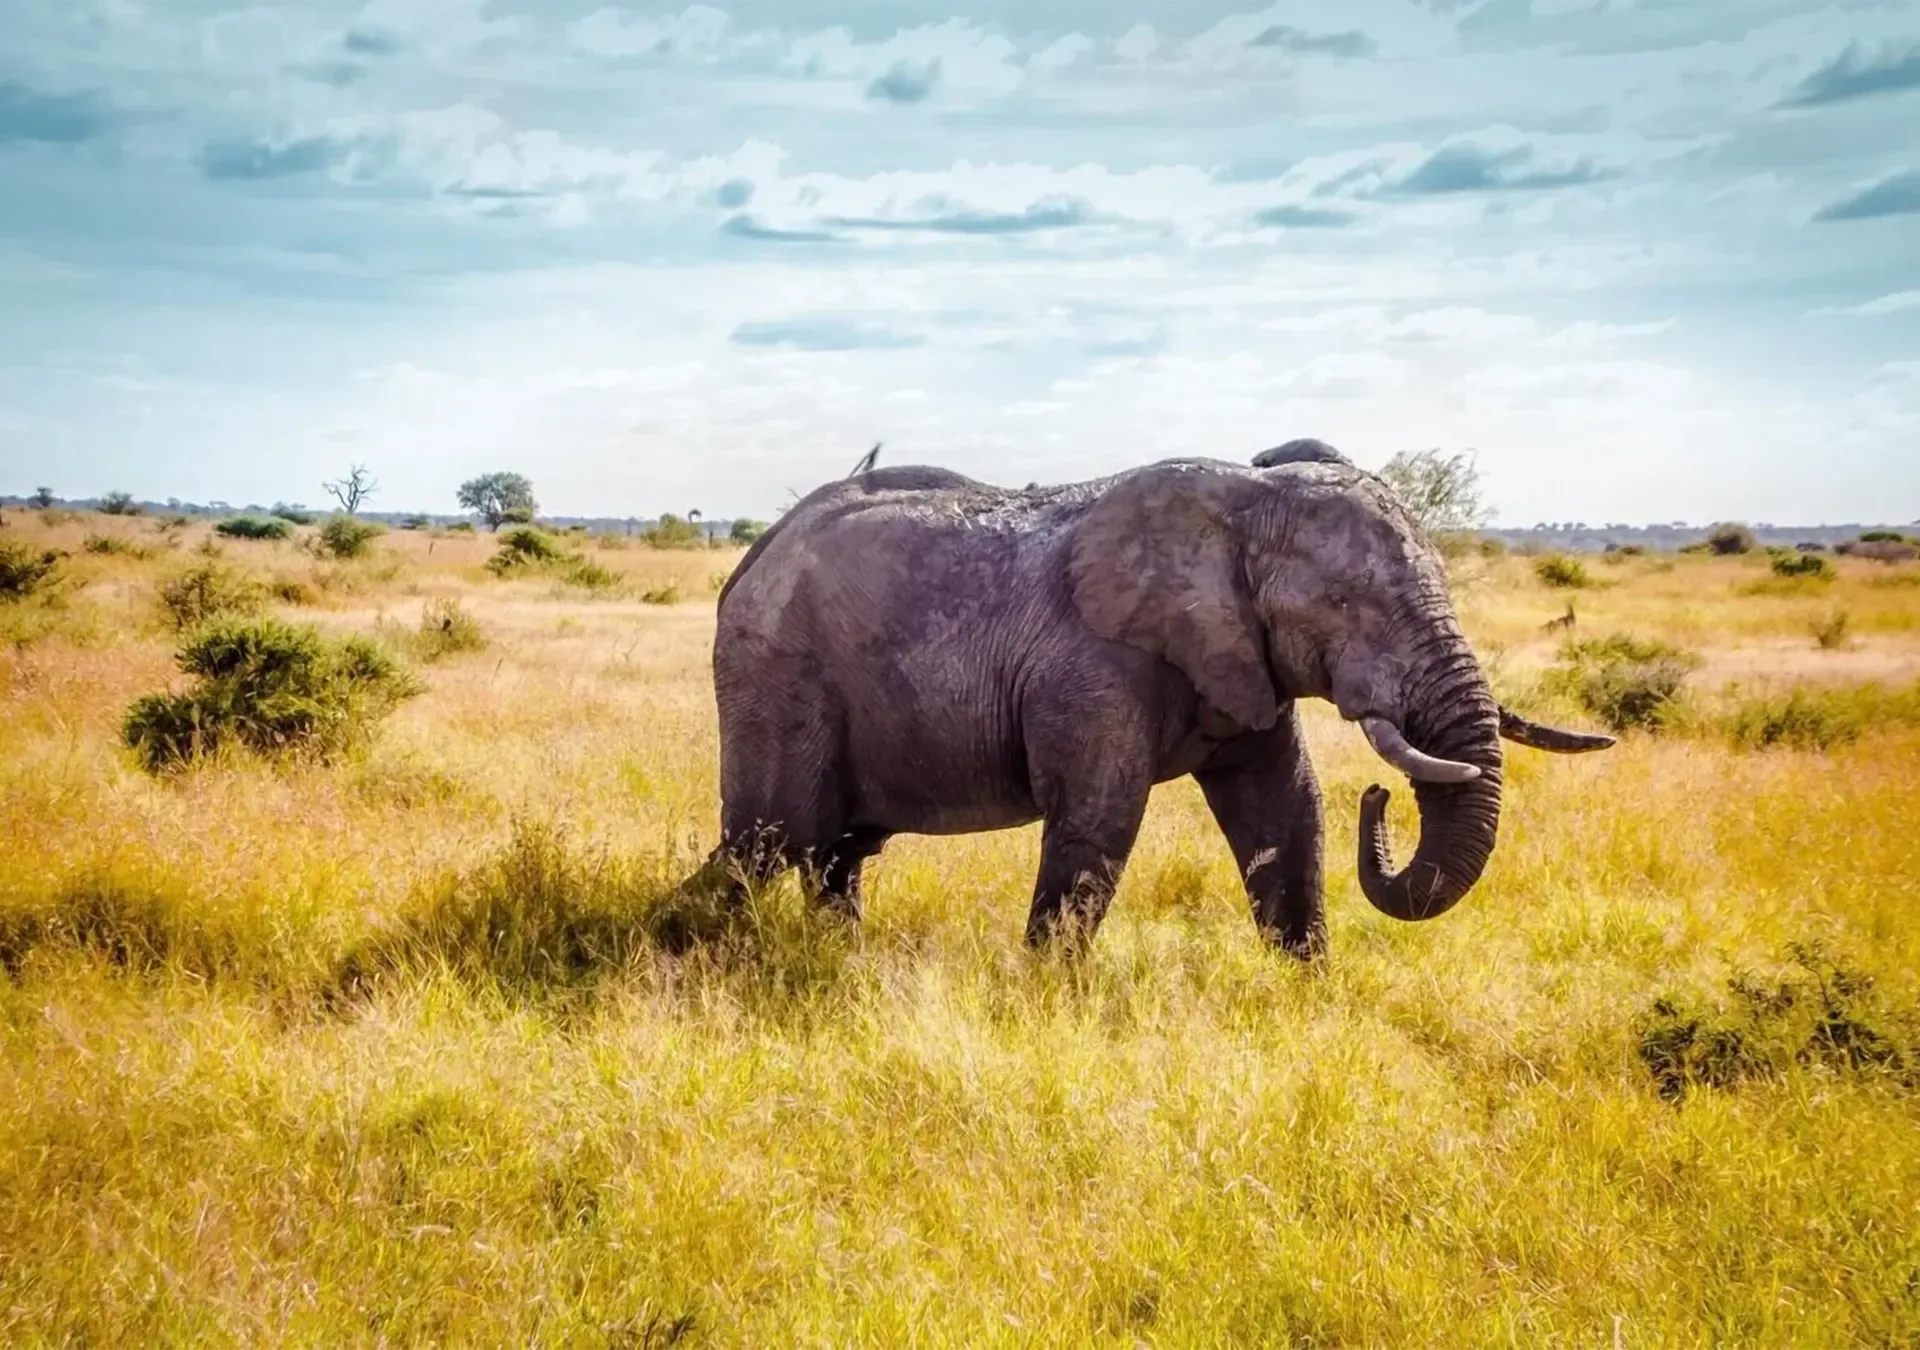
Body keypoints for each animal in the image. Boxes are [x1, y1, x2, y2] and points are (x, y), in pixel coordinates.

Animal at [706, 448, 1614, 956]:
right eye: (1346, 603)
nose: (1380, 794)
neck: (1248, 500)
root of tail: (751, 558)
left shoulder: (1244, 655)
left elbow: (1288, 812)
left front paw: (1309, 996)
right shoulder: (1093, 665)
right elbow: (1100, 820)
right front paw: (1046, 1004)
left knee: (833, 857)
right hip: (779, 678)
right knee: (767, 841)